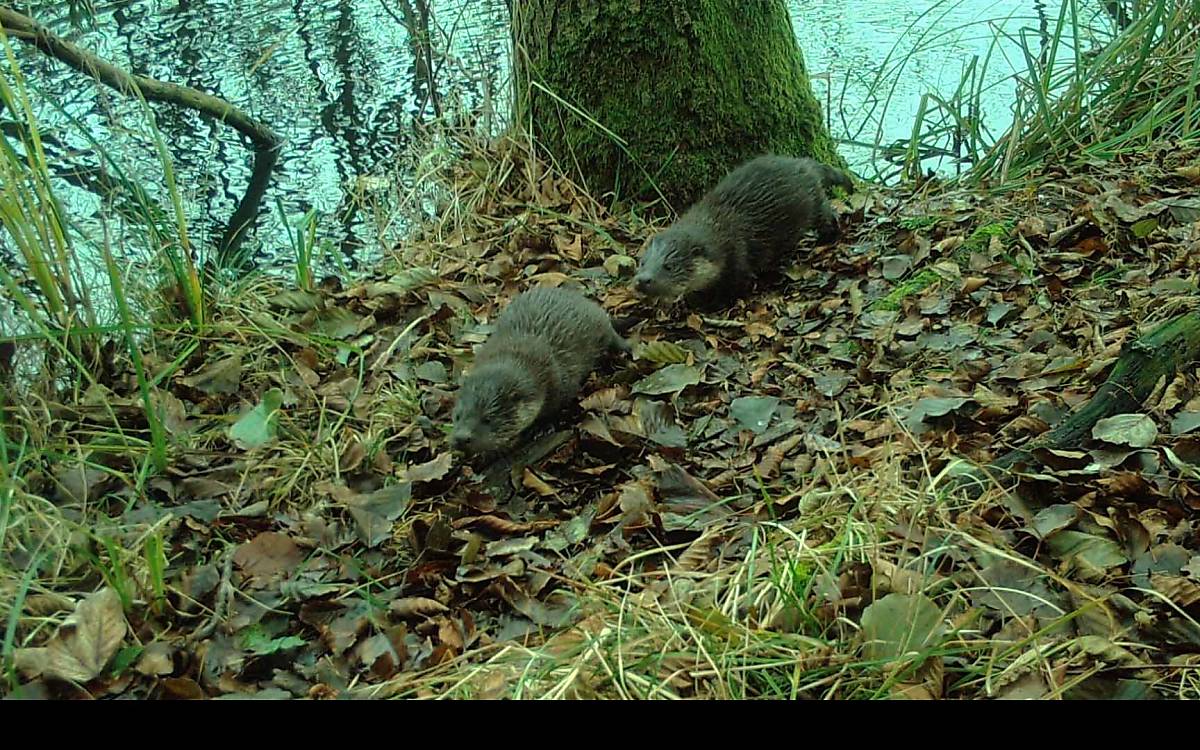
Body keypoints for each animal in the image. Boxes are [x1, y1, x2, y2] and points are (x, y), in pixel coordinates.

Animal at [444, 283, 628, 453]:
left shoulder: (561, 384)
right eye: (457, 416)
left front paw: (543, 427)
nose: (461, 438)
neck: (516, 351)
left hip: (599, 326)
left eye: (487, 418)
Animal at [628, 154, 854, 304]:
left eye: (669, 266)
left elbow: (737, 285)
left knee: (826, 215)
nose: (643, 280)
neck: (718, 227)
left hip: (813, 201)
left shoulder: (738, 257)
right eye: (642, 262)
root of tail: (802, 164)